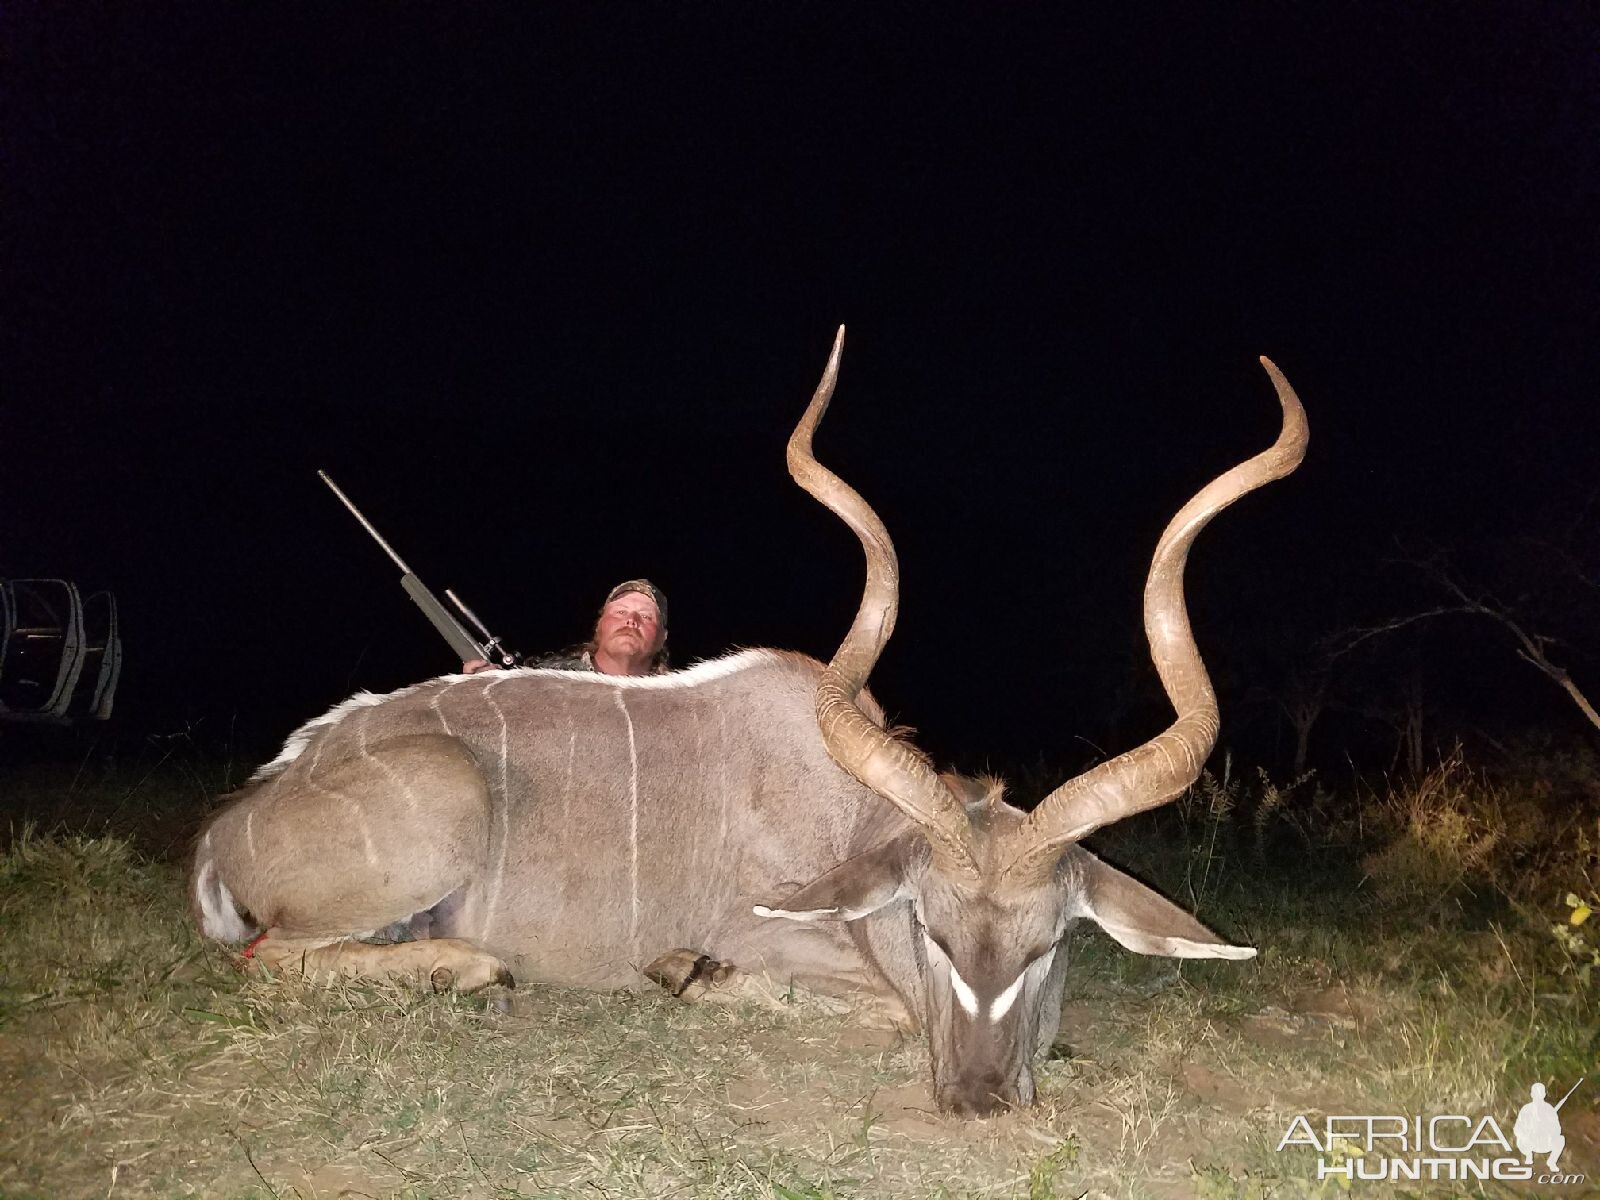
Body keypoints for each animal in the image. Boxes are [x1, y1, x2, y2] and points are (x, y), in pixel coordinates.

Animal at [193, 331, 1305, 1120]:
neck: (848, 818)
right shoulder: (781, 940)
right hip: (435, 802)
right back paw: (473, 968)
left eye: (1050, 944)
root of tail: (230, 826)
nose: (979, 1098)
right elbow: (856, 1002)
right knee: (270, 964)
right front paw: (683, 971)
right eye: (930, 930)